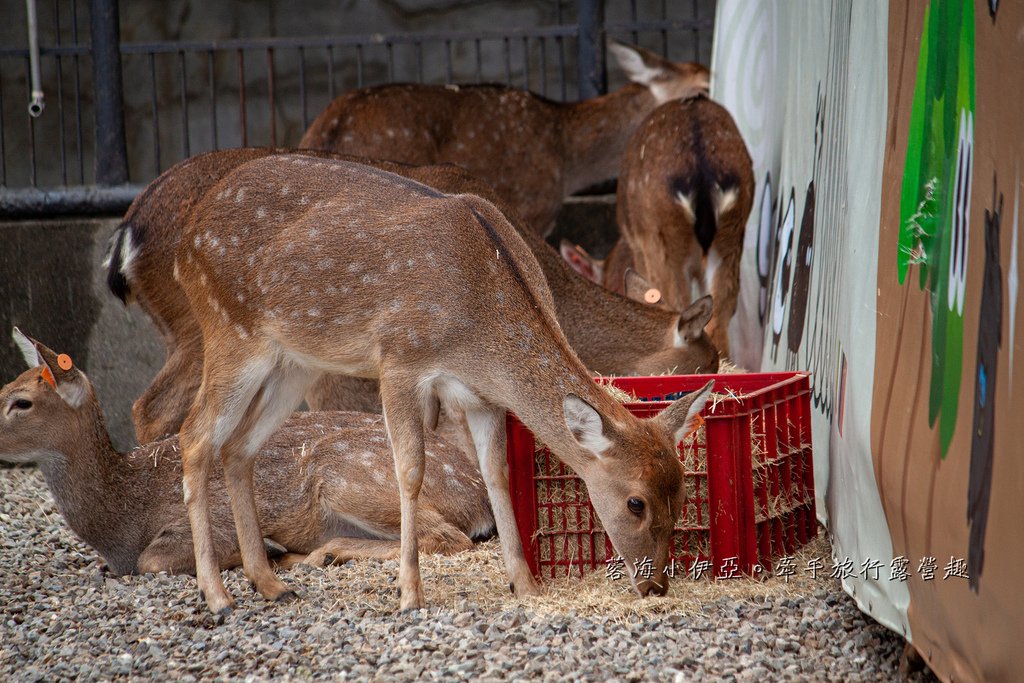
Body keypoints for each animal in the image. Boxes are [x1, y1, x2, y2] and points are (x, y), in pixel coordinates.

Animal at [0, 329, 495, 577]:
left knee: (447, 537)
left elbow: (154, 561)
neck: (121, 519)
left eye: (21, 402)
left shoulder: (198, 524)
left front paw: (262, 549)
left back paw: (316, 553)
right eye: (7, 389)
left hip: (345, 471)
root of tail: (478, 496)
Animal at [167, 153, 712, 614]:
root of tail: (183, 244)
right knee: (194, 436)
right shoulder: (399, 360)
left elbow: (497, 474)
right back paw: (216, 595)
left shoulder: (481, 395)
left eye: (683, 491)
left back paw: (270, 583)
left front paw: (525, 585)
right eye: (635, 502)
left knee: (238, 447)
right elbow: (411, 471)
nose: (656, 585)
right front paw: (410, 594)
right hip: (230, 329)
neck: (479, 334)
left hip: (293, 362)